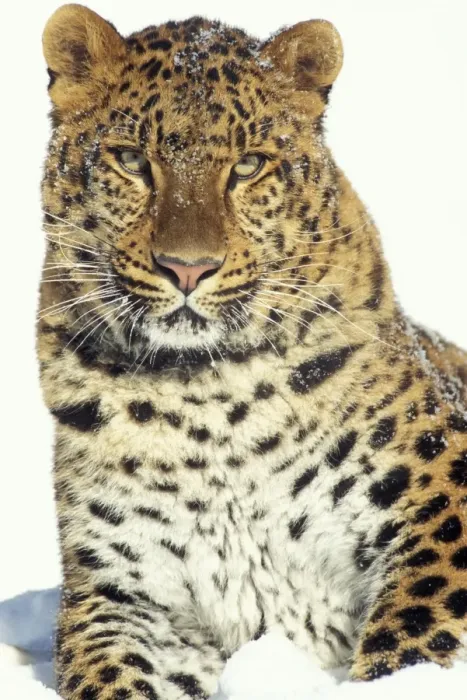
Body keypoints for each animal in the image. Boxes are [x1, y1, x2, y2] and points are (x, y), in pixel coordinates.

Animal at [37, 4, 467, 699]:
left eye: (247, 167)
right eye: (131, 160)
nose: (187, 268)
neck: (208, 401)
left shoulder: (442, 492)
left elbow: (417, 633)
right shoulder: (120, 594)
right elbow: (108, 677)